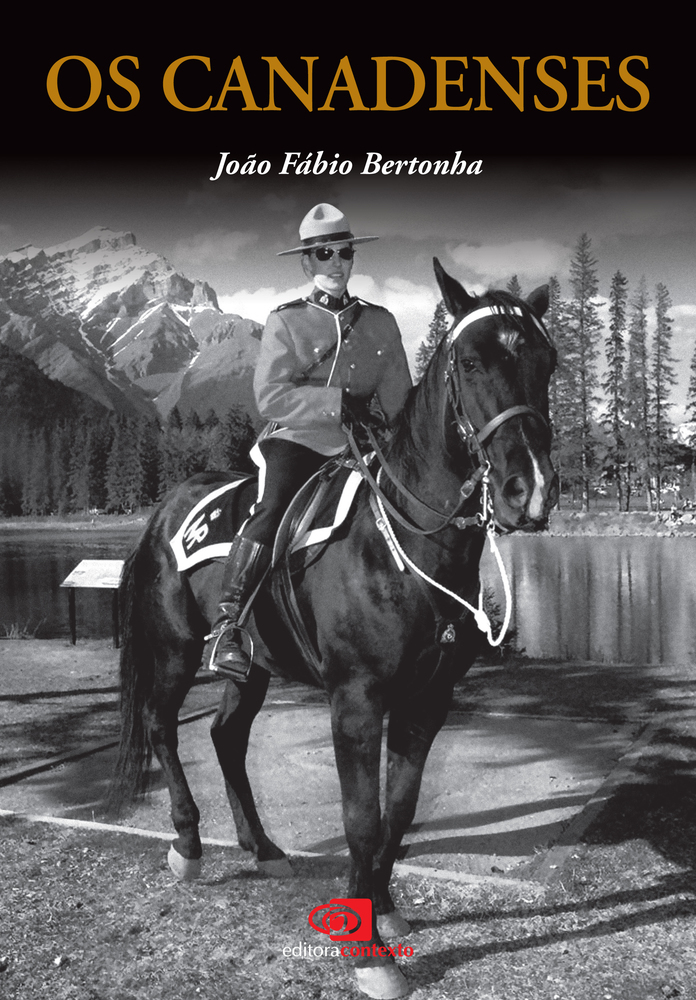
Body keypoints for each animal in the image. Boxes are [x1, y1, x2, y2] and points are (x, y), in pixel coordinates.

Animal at [111, 259, 558, 1000]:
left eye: (547, 363)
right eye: (470, 360)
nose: (533, 490)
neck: (405, 541)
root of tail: (167, 506)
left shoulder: (428, 698)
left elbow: (399, 811)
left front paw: (384, 908)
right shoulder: (356, 699)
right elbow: (361, 818)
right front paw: (365, 950)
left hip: (252, 666)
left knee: (226, 737)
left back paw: (263, 848)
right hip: (174, 652)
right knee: (162, 728)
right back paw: (188, 845)